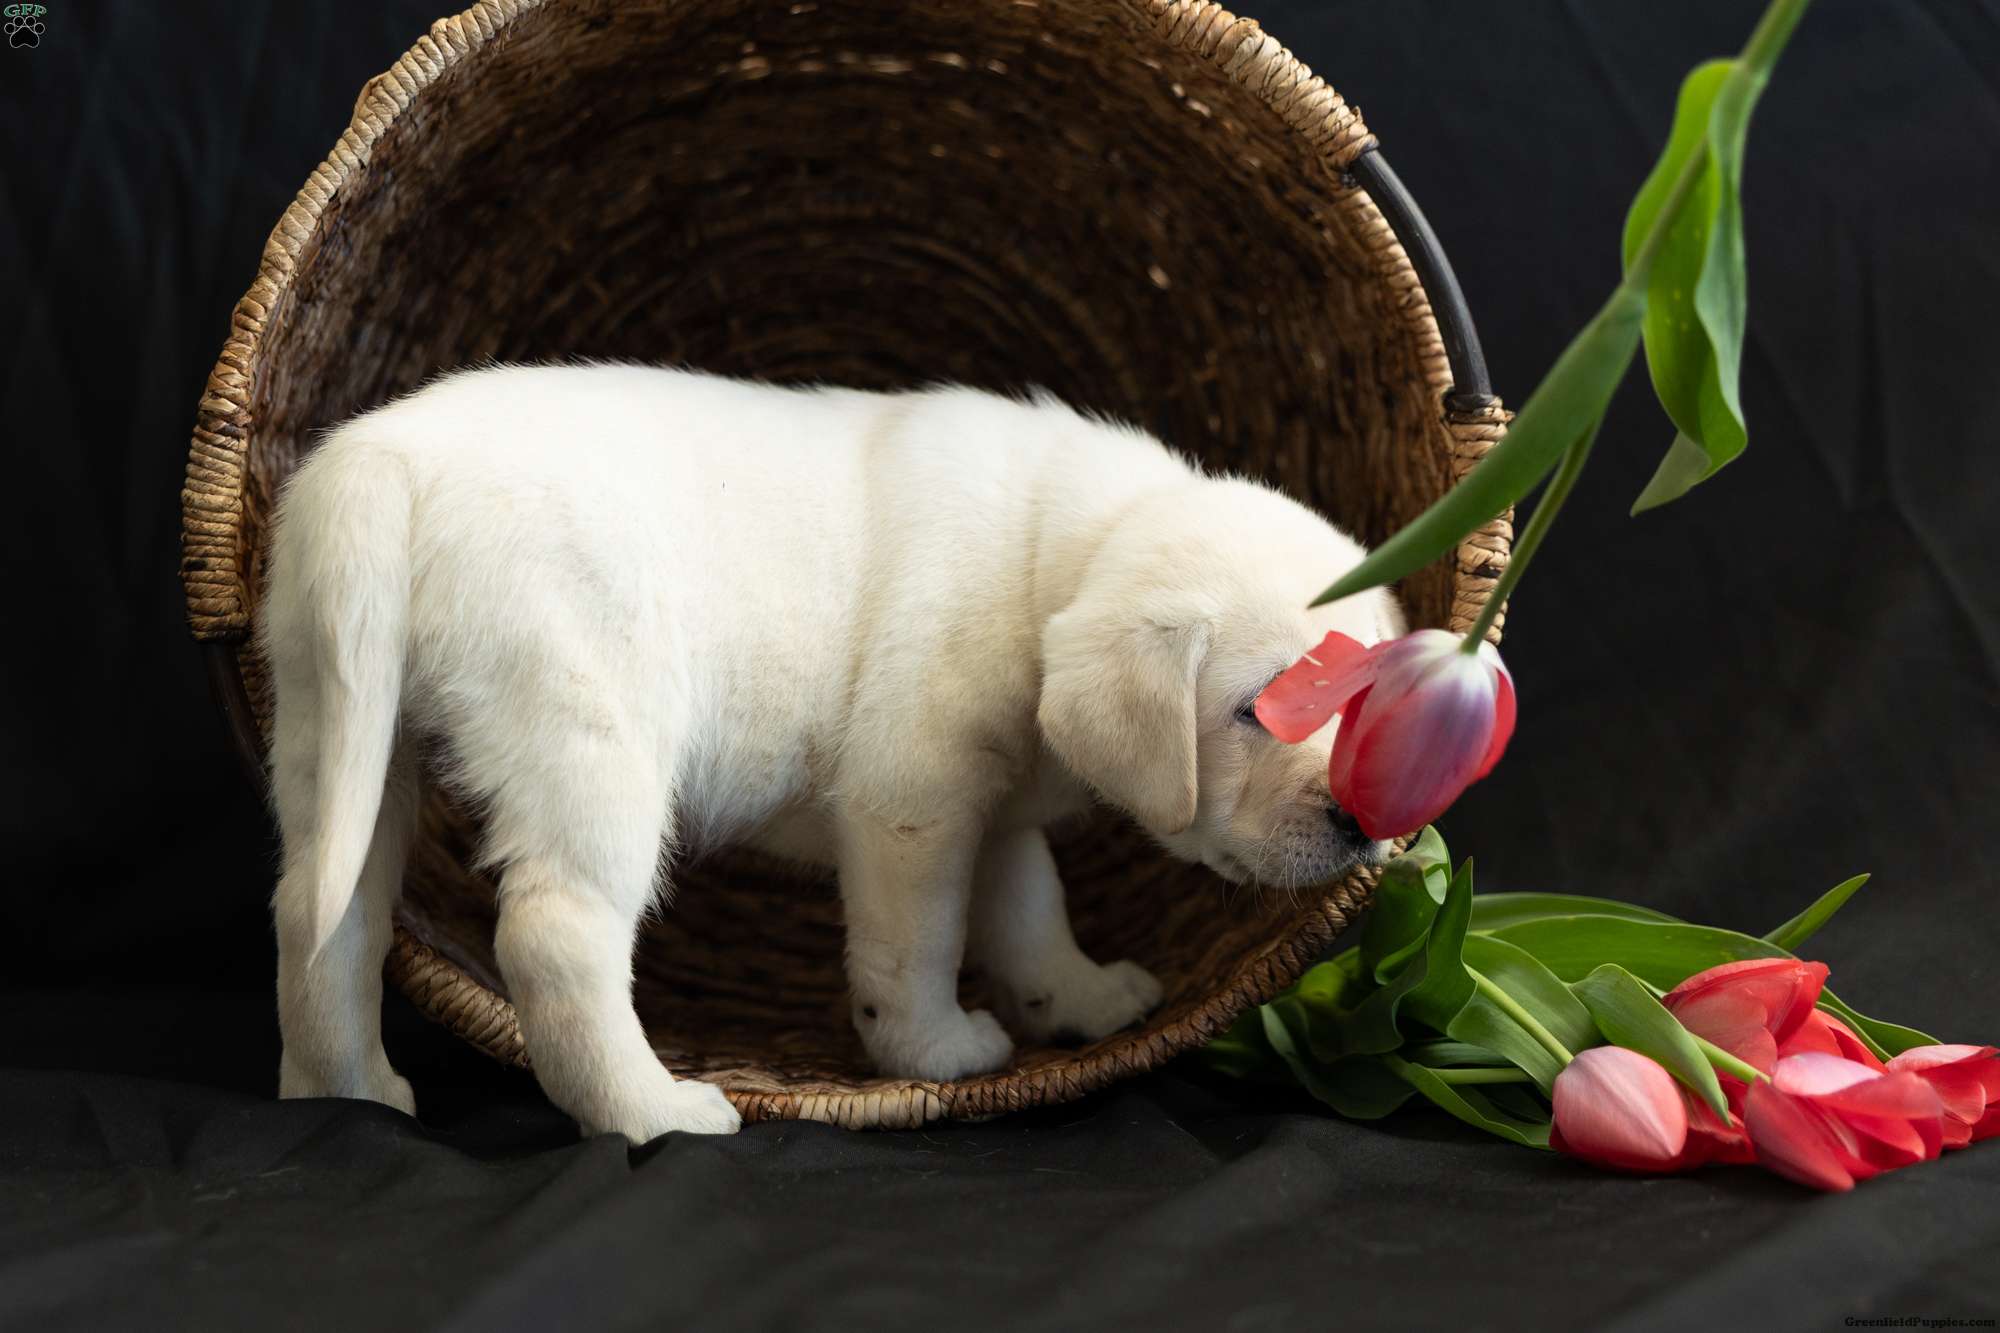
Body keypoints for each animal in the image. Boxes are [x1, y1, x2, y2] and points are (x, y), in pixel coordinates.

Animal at [263, 364, 1405, 1141]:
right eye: (1257, 710)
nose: (1361, 817)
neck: (1057, 553)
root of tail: (386, 462)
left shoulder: (994, 805)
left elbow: (1029, 911)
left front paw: (1076, 1000)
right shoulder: (914, 794)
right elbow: (921, 944)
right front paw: (935, 1050)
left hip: (334, 716)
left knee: (322, 912)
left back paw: (346, 1095)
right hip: (588, 734)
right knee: (557, 934)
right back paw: (652, 1112)